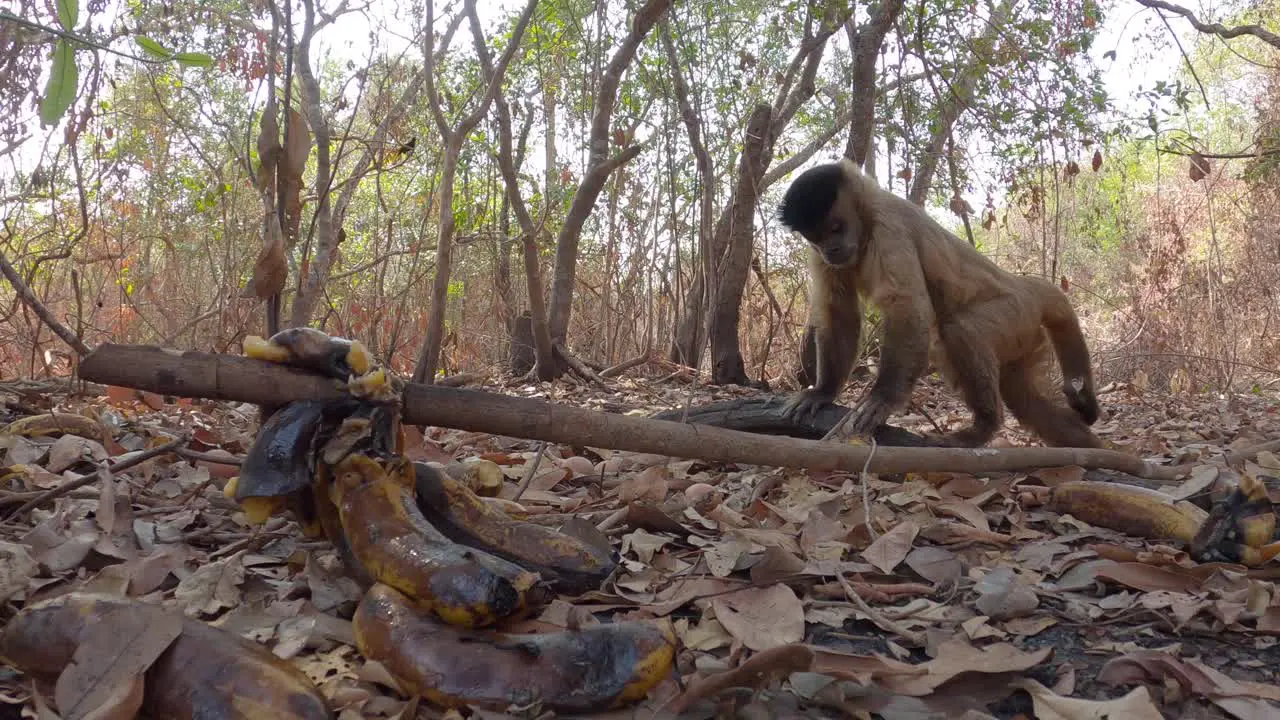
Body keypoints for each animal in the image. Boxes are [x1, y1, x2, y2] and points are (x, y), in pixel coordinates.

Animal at [773, 159, 1105, 445]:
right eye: (815, 237)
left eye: (835, 228)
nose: (830, 249)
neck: (866, 223)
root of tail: (1021, 284)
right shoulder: (823, 256)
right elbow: (839, 311)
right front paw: (823, 391)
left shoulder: (888, 228)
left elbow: (906, 306)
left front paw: (883, 397)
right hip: (1022, 335)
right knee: (1026, 400)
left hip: (1016, 312)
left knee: (959, 328)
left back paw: (984, 427)